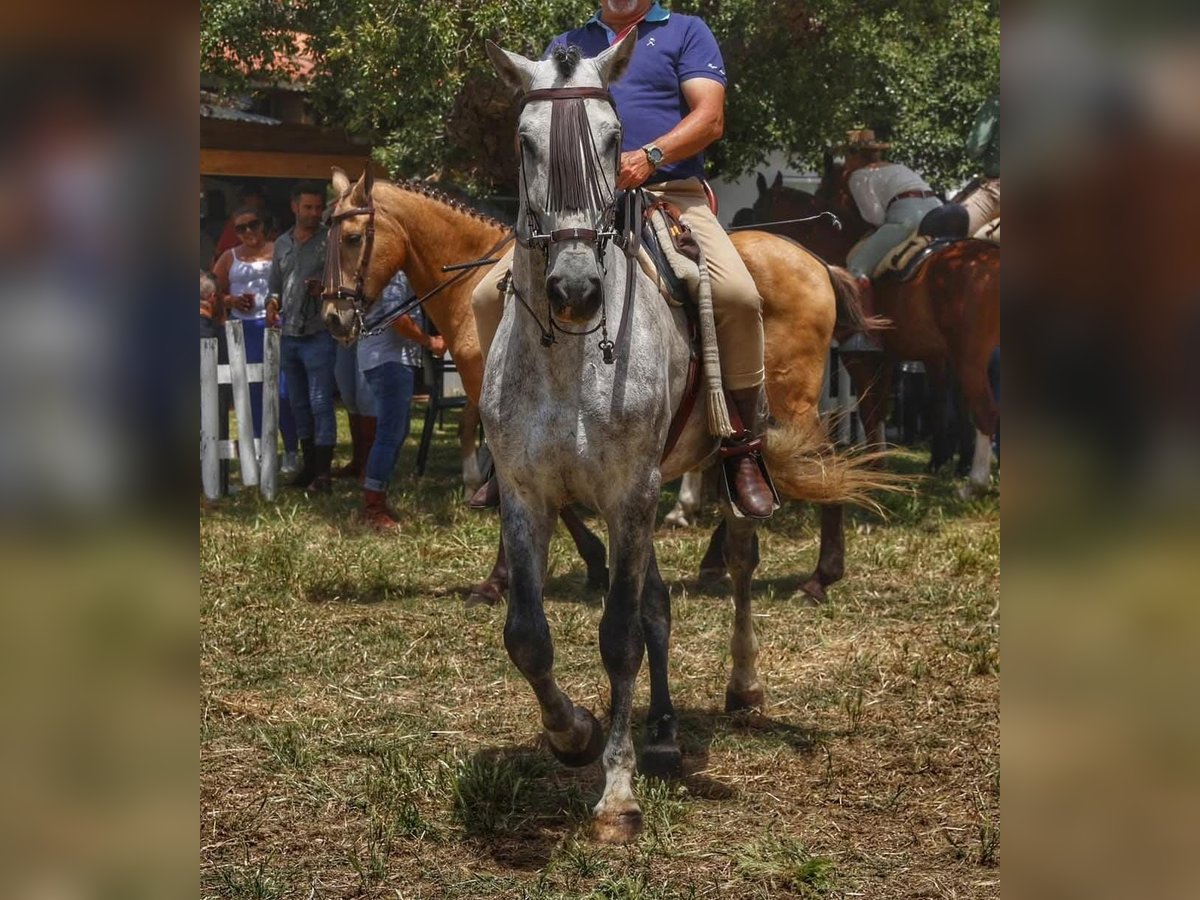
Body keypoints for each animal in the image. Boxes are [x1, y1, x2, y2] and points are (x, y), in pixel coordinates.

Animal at [748, 168, 1003, 494]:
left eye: (756, 210)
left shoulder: (859, 358)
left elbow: (869, 410)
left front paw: (873, 467)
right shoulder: (888, 358)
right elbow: (879, 409)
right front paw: (879, 463)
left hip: (968, 357)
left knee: (985, 411)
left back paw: (974, 483)